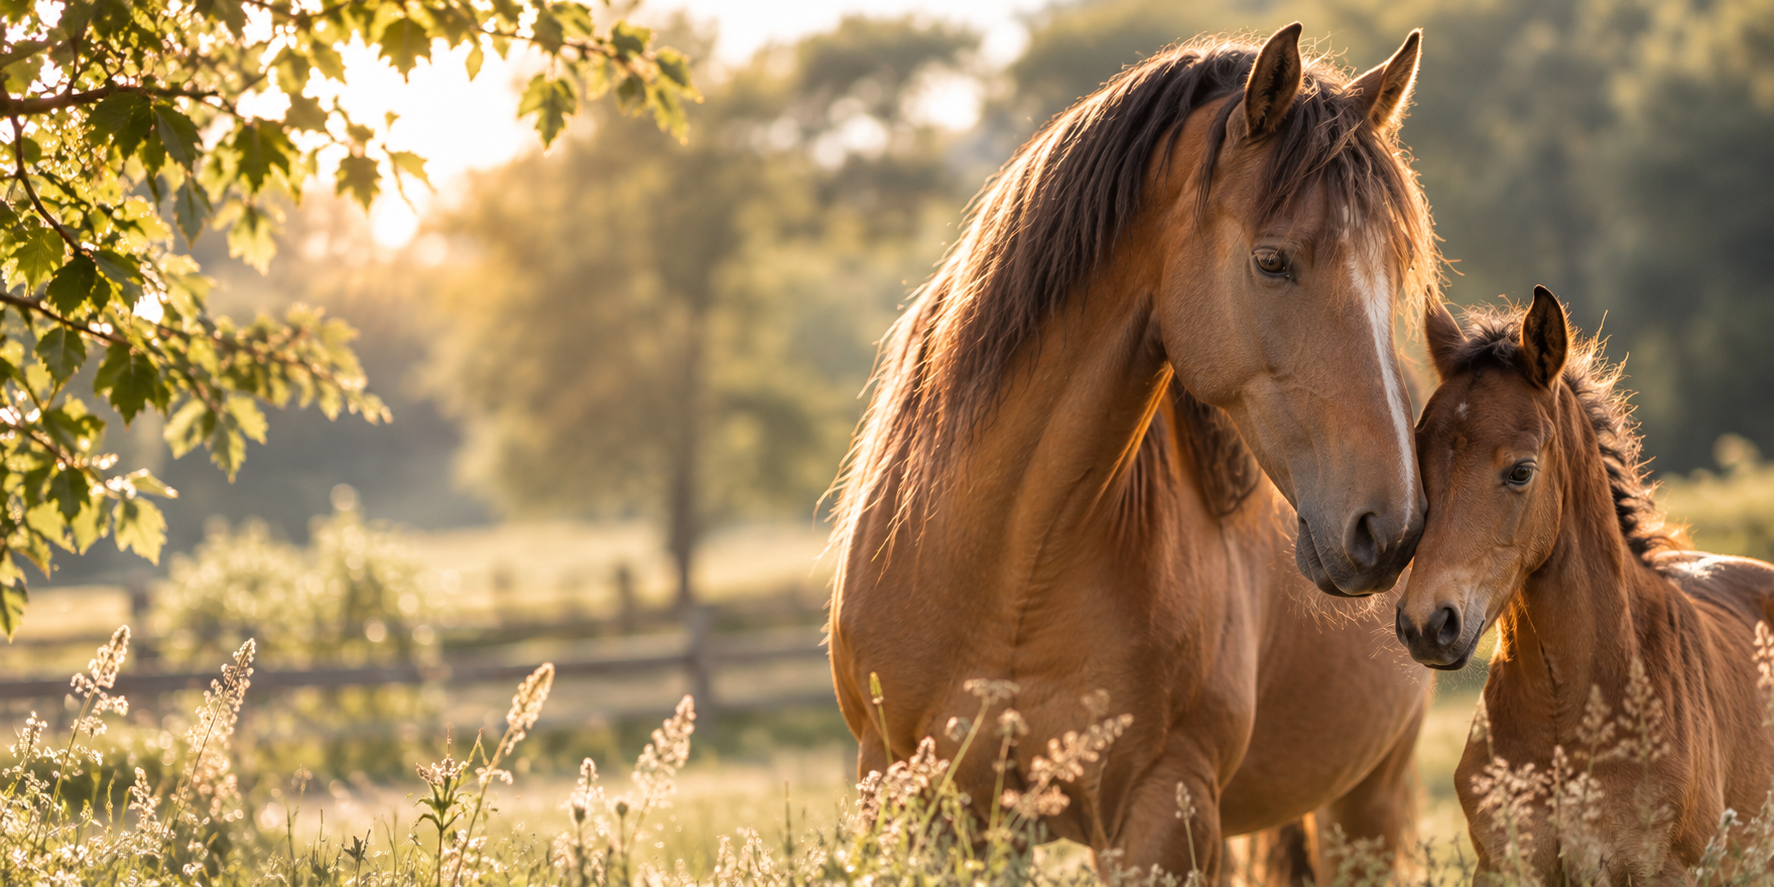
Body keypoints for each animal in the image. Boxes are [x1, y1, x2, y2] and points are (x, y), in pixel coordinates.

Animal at [827, 23, 1439, 880]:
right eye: (1272, 260)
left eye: (1396, 269)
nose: (1394, 526)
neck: (1013, 565)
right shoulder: (913, 799)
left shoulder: (1161, 806)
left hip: (1369, 799)